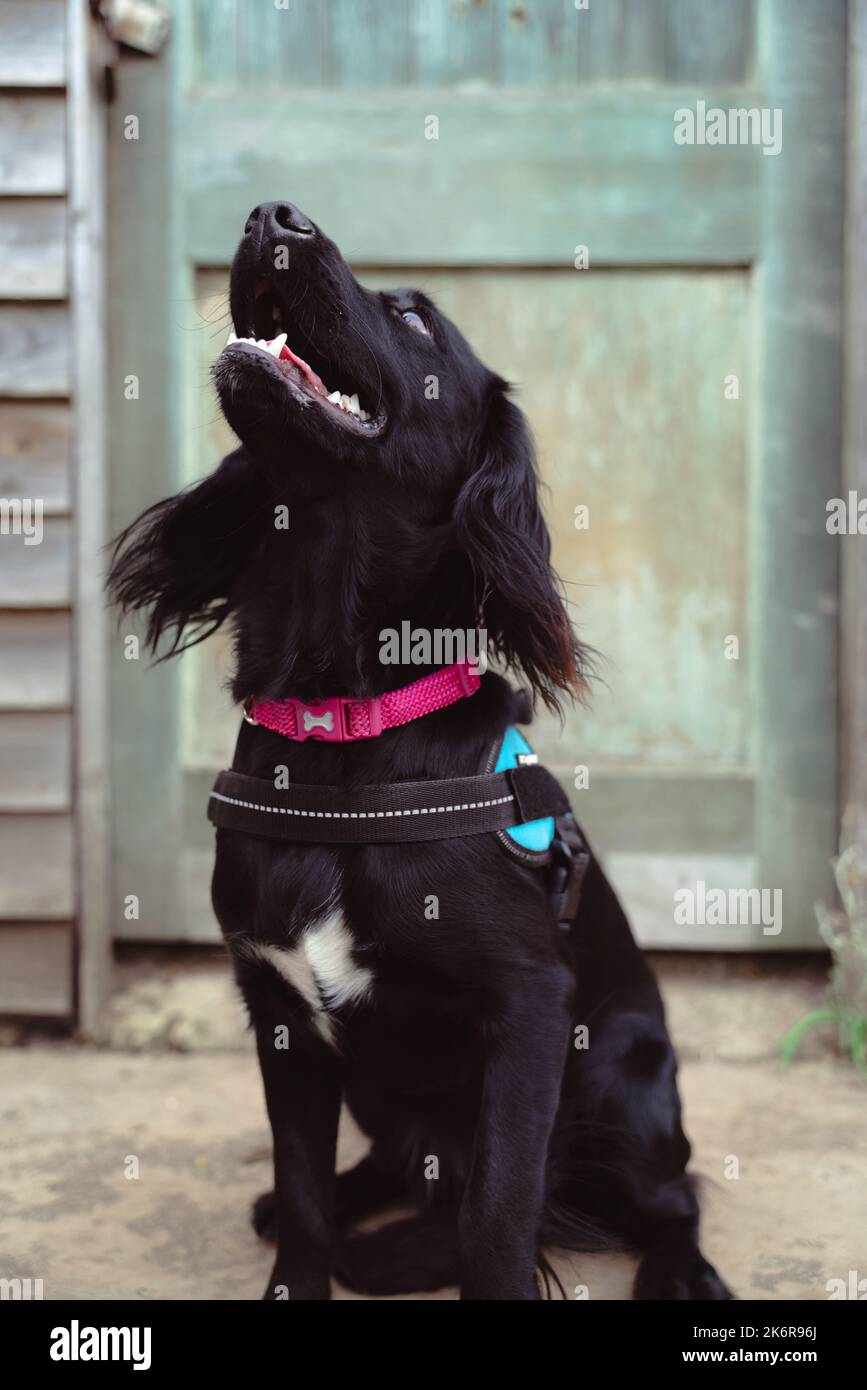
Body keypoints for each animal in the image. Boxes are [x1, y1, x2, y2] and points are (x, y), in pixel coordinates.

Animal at [109, 201, 733, 1295]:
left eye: (412, 317)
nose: (271, 214)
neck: (343, 733)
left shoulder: (532, 1008)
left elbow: (496, 1214)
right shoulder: (279, 1005)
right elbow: (306, 1192)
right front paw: (298, 1260)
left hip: (620, 1074)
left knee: (673, 1197)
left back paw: (678, 1270)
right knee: (385, 1165)